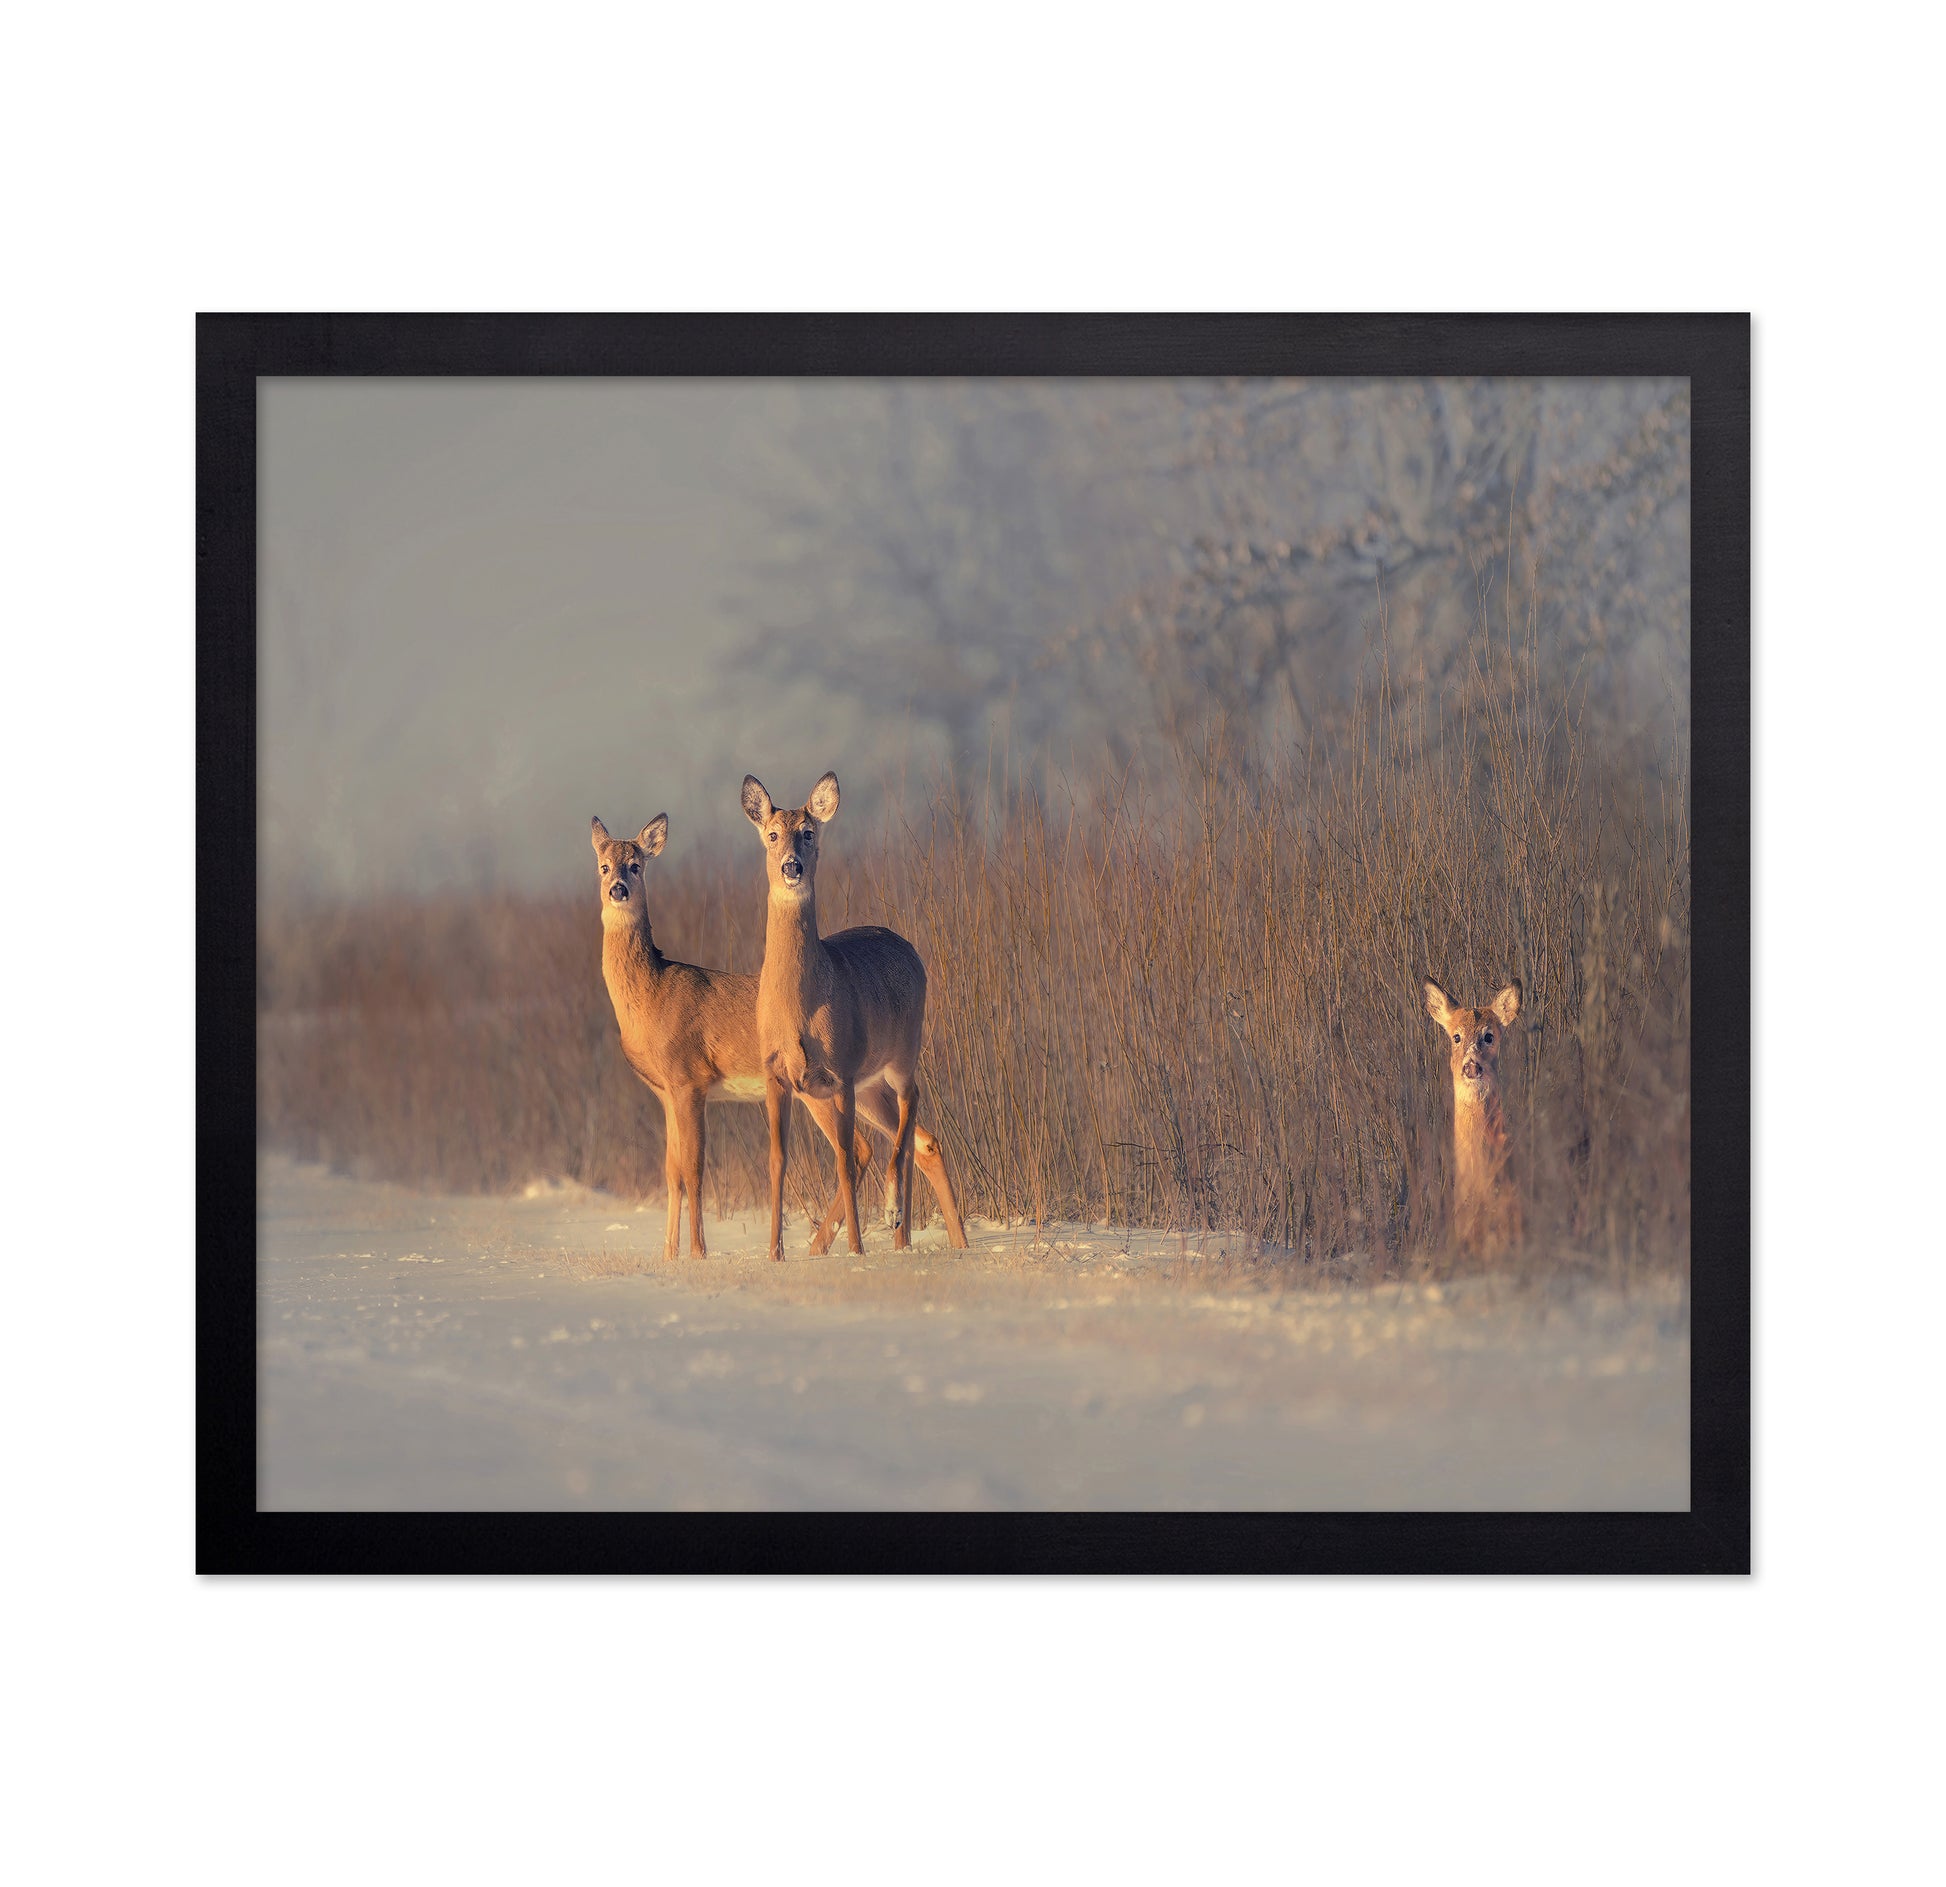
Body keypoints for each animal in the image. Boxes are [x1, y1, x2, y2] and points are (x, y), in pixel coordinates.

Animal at [590, 814, 876, 1261]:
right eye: (603, 866)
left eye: (635, 866)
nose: (617, 889)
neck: (651, 996)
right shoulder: (665, 1092)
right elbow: (671, 1171)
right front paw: (668, 1255)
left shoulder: (690, 1079)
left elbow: (693, 1168)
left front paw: (697, 1252)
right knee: (875, 1145)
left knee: (864, 1146)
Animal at [740, 771, 969, 1263]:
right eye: (772, 834)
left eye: (809, 833)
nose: (791, 867)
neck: (799, 1007)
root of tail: (909, 947)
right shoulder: (778, 1074)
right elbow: (777, 1161)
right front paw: (774, 1254)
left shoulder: (840, 1070)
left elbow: (844, 1159)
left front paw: (857, 1249)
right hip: (868, 1086)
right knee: (919, 1139)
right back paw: (929, 1239)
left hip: (901, 1053)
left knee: (910, 1106)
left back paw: (895, 1217)